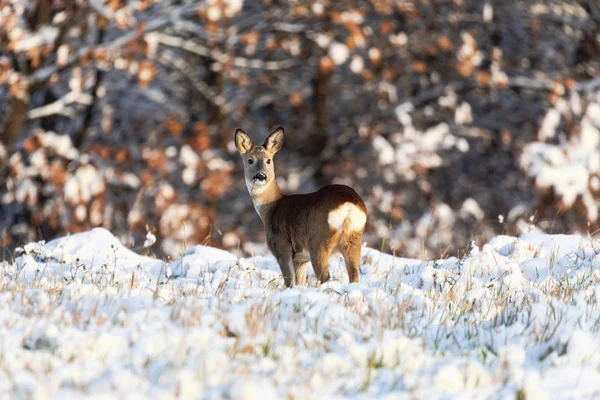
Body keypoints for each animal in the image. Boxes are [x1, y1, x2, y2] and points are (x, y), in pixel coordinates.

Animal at [233, 126, 366, 286]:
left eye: (268, 160)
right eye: (250, 160)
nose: (261, 176)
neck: (271, 209)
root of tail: (348, 206)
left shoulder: (282, 248)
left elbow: (289, 283)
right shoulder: (301, 259)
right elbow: (299, 282)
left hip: (319, 241)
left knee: (325, 276)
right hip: (354, 239)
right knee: (354, 275)